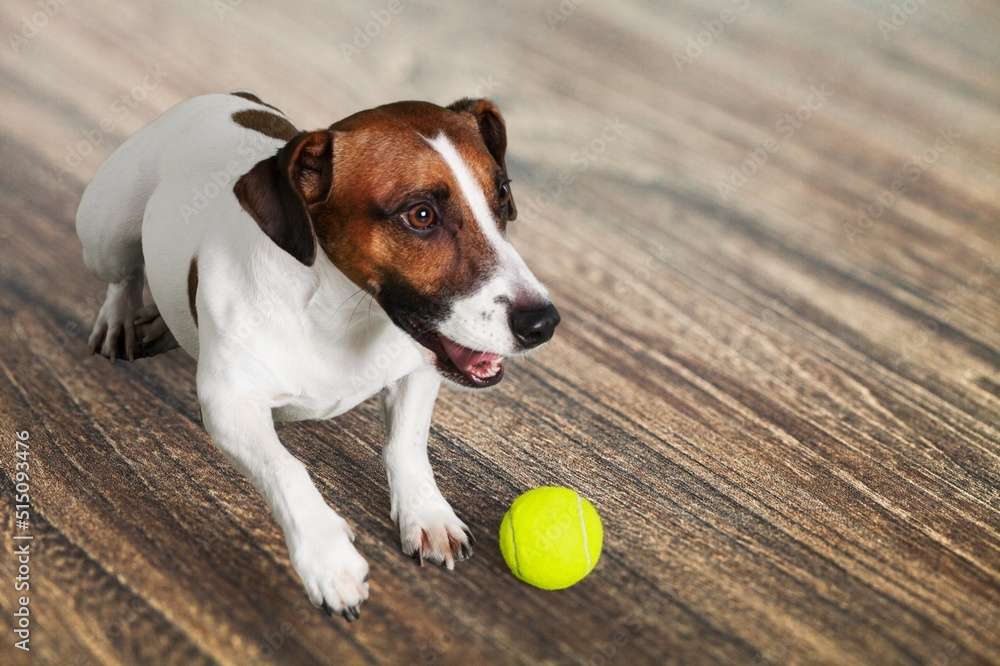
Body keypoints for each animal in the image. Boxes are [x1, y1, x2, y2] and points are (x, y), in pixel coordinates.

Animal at [76, 91, 564, 620]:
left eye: (503, 197)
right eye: (420, 215)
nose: (543, 324)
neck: (338, 311)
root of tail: (225, 97)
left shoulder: (419, 368)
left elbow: (406, 443)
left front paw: (426, 513)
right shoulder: (229, 405)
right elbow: (286, 469)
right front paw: (328, 559)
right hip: (106, 233)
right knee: (124, 275)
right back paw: (121, 318)